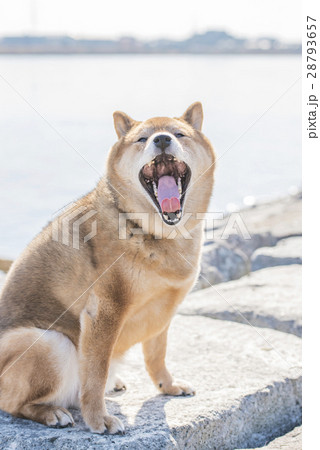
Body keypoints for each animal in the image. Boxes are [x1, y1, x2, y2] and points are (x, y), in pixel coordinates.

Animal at [0, 102, 216, 432]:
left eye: (179, 134)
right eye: (142, 139)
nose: (162, 140)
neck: (149, 230)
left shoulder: (164, 308)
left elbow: (156, 355)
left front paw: (167, 386)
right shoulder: (104, 311)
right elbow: (96, 372)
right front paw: (97, 418)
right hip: (50, 342)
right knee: (14, 404)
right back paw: (51, 413)